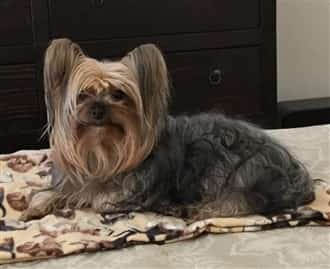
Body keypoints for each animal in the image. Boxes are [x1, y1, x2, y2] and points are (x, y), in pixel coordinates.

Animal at [21, 38, 314, 220]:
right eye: (82, 95)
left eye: (118, 95)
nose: (97, 109)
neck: (102, 149)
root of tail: (296, 173)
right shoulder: (74, 180)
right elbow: (58, 193)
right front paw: (36, 206)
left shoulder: (131, 193)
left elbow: (99, 200)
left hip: (240, 171)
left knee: (238, 201)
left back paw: (193, 210)